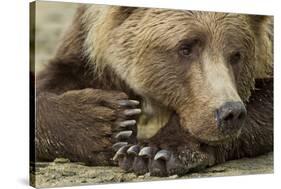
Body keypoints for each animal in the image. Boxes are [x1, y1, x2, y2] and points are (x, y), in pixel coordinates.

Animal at [34, 4, 272, 177]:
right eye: (185, 48)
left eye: (236, 55)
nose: (230, 113)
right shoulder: (85, 44)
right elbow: (53, 80)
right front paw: (108, 121)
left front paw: (153, 152)